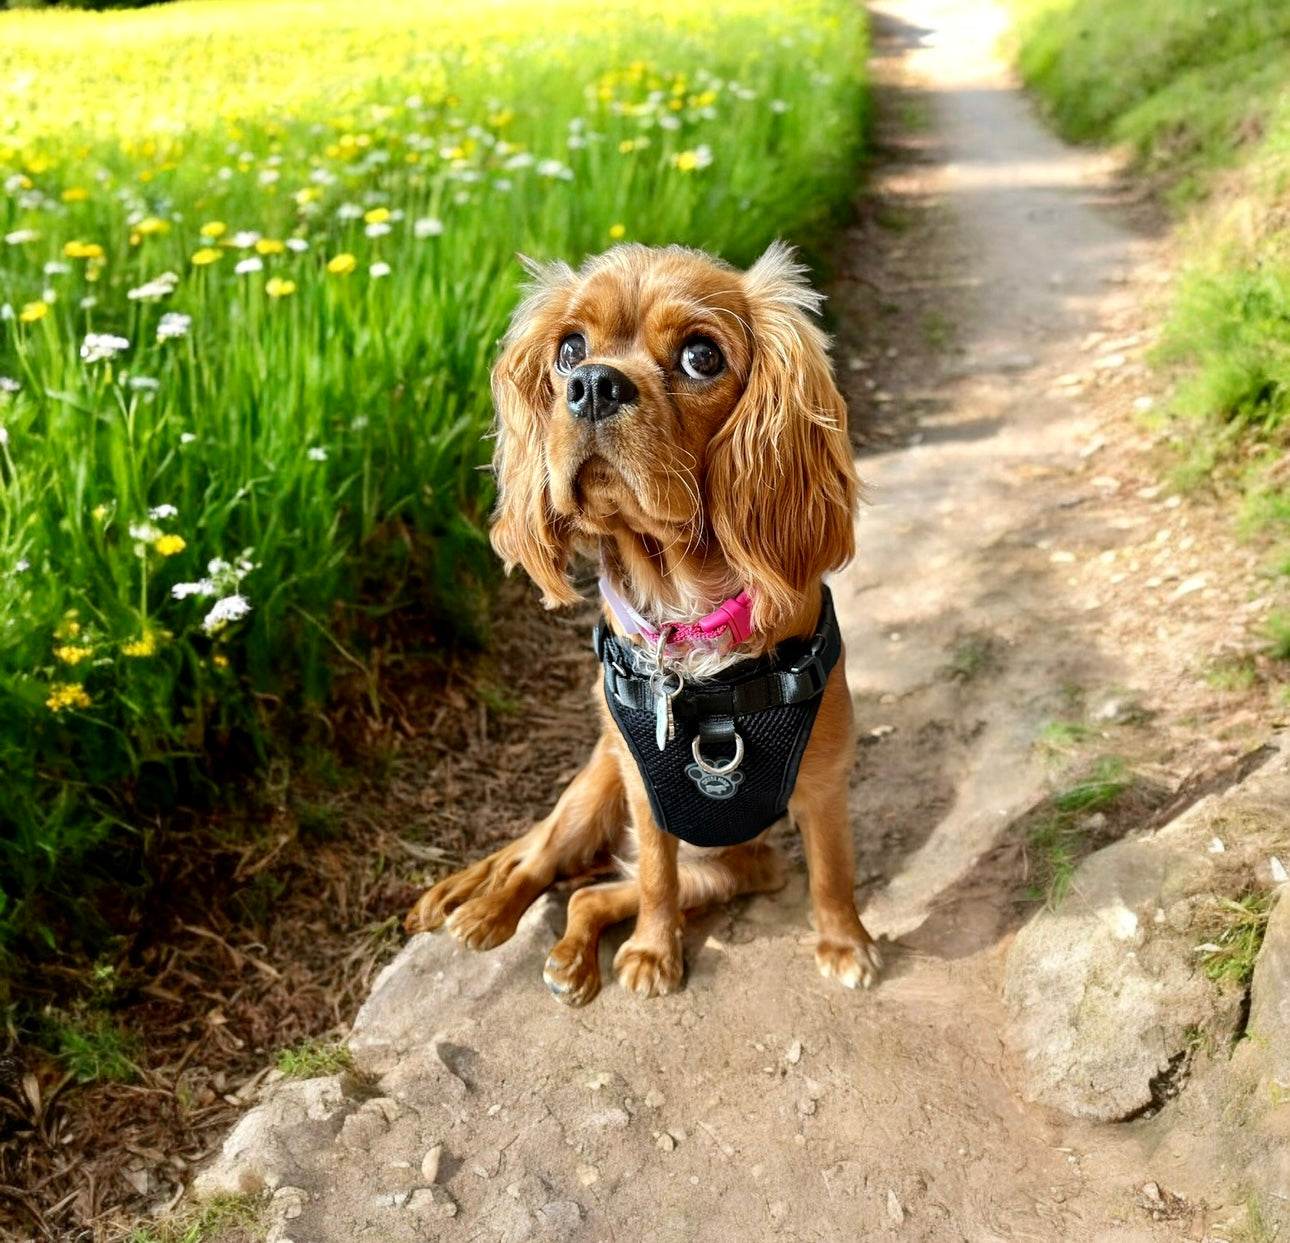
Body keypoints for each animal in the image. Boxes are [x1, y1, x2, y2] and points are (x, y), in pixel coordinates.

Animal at [407, 244, 882, 1010]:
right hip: (594, 793)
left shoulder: (823, 781)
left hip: (734, 869)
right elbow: (656, 877)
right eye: (570, 349)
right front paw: (655, 952)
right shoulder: (643, 789)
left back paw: (571, 957)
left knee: (588, 895)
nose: (592, 385)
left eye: (701, 356)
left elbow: (834, 870)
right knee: (537, 863)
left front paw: (845, 943)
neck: (685, 623)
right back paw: (487, 914)